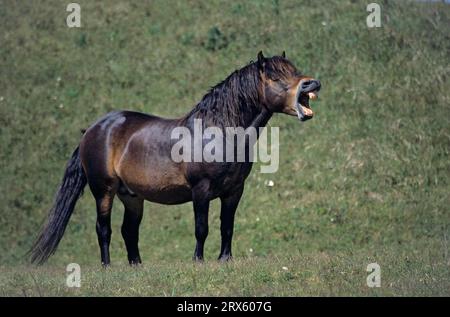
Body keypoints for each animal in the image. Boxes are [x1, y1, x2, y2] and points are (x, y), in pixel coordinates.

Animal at [29, 51, 320, 264]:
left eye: (294, 70)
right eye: (275, 77)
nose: (312, 83)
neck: (219, 133)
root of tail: (93, 129)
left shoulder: (234, 191)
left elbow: (227, 226)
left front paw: (225, 259)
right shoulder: (201, 190)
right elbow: (201, 228)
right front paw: (198, 261)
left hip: (131, 196)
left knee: (129, 231)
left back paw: (137, 266)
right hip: (104, 191)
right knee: (104, 229)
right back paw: (107, 266)